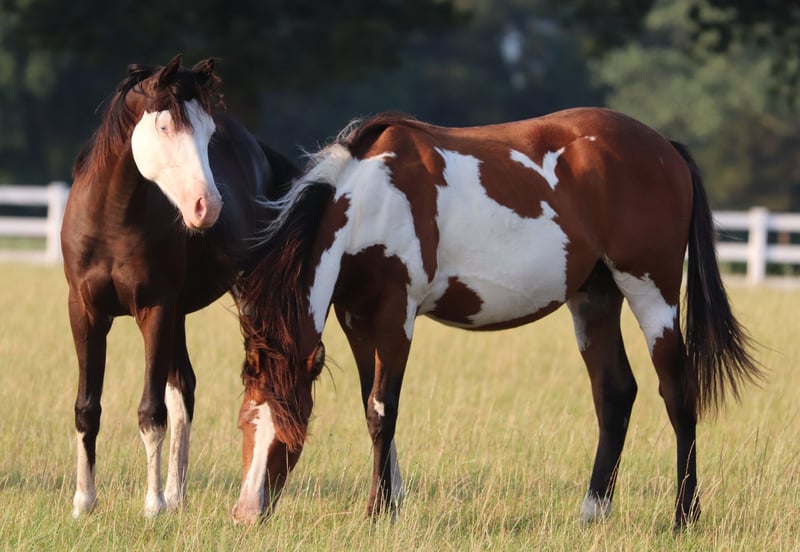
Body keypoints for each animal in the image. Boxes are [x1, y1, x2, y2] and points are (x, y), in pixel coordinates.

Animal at [61, 54, 299, 518]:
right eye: (165, 126)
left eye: (208, 133)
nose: (207, 207)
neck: (110, 221)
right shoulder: (85, 312)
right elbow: (87, 408)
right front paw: (83, 503)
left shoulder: (154, 310)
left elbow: (151, 413)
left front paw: (151, 506)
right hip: (178, 317)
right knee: (183, 388)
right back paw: (177, 495)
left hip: (242, 302)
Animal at [232, 108, 762, 527]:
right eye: (244, 423)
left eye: (290, 428)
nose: (246, 513)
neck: (370, 199)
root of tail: (665, 149)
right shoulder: (356, 318)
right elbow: (372, 408)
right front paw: (391, 505)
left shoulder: (396, 315)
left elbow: (383, 411)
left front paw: (376, 513)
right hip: (596, 297)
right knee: (615, 394)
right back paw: (592, 513)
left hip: (652, 291)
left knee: (678, 394)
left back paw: (684, 516)